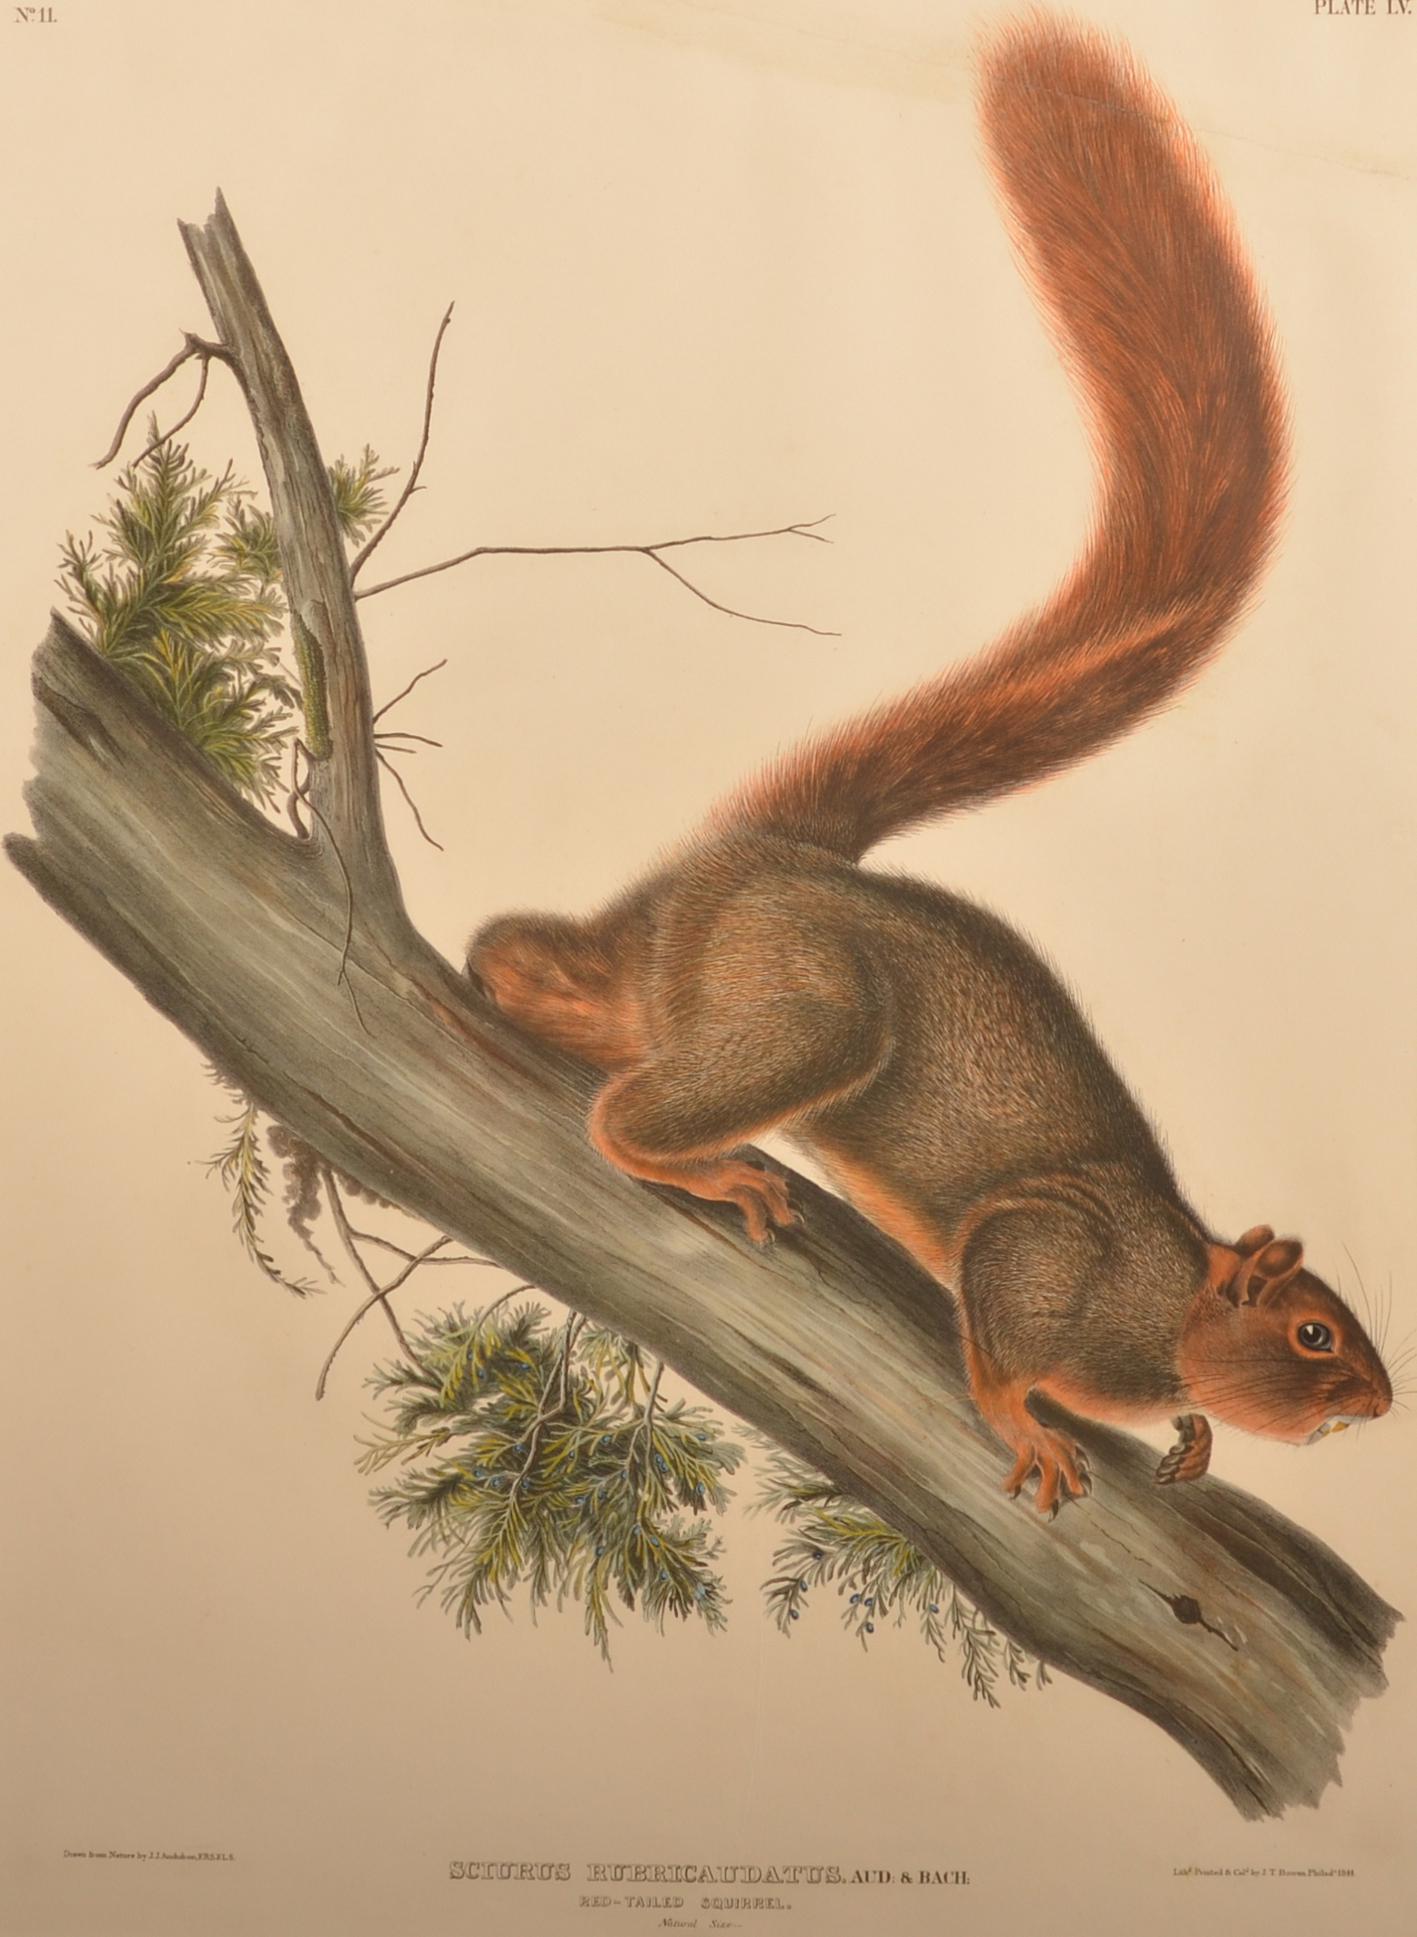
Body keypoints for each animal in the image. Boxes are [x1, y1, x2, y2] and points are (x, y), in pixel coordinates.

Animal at [467, 19, 1392, 1514]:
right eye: (1313, 1331)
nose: (1379, 1399)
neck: (1170, 1292)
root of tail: (771, 858)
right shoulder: (1040, 1251)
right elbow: (1003, 1327)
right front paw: (1028, 1419)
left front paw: (1191, 1435)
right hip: (809, 1011)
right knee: (623, 1101)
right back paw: (700, 1164)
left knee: (551, 967)